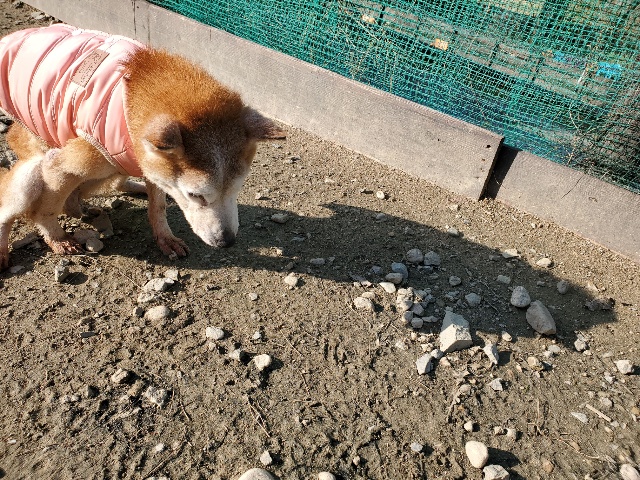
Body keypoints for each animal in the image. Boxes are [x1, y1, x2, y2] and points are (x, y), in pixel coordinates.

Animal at [0, 23, 285, 270]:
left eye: (237, 189)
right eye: (195, 195)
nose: (227, 242)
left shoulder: (151, 165)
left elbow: (157, 206)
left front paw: (165, 238)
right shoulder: (60, 165)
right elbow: (46, 211)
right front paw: (57, 239)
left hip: (112, 170)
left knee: (107, 186)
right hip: (32, 171)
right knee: (11, 209)